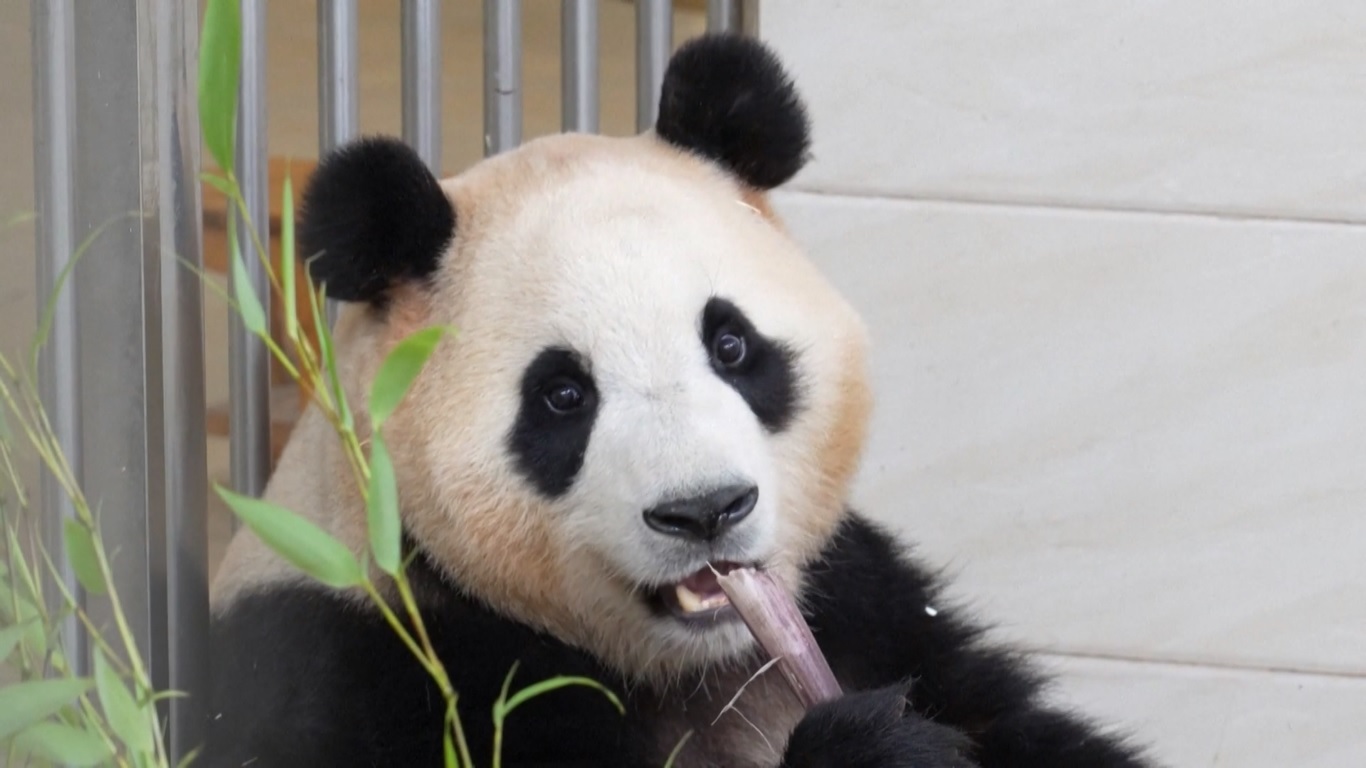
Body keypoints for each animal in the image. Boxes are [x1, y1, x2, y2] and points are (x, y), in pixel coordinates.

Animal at [204, 34, 1154, 768]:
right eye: (563, 395)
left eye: (731, 346)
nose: (706, 510)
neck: (695, 662)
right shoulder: (362, 664)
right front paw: (879, 747)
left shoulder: (864, 602)